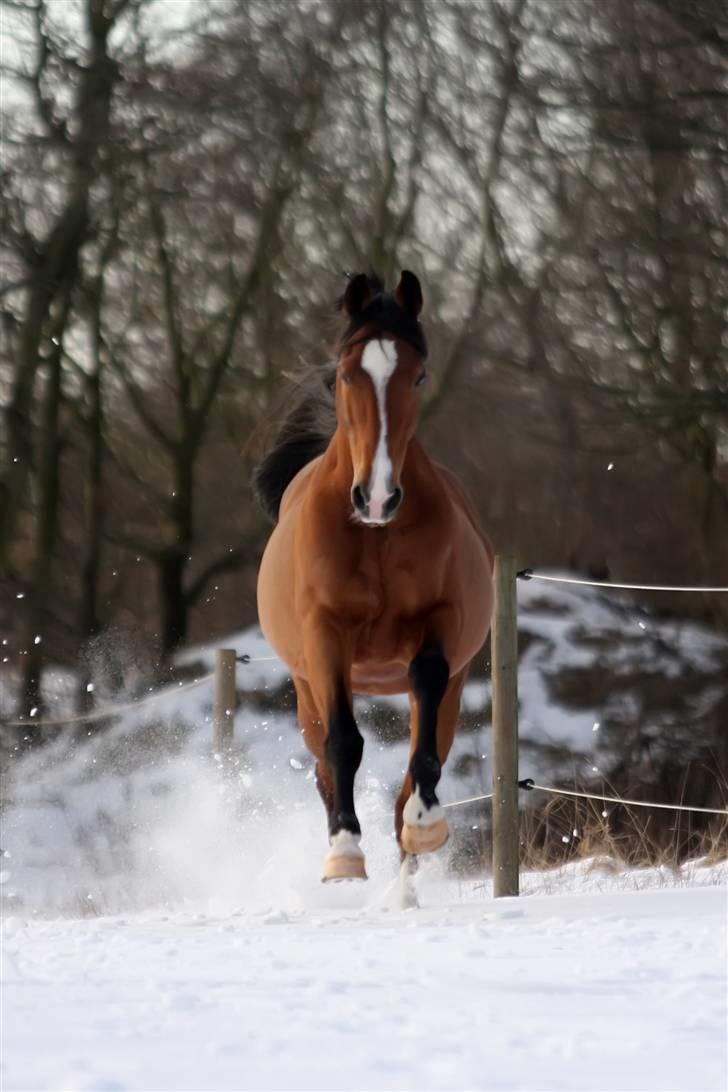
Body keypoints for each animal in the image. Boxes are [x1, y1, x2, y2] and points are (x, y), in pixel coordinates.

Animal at [255, 273, 495, 886]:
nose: (379, 497)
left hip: (451, 686)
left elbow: (423, 739)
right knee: (322, 764)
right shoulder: (326, 637)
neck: (377, 537)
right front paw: (345, 853)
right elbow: (343, 742)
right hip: (305, 690)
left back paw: (407, 875)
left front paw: (424, 823)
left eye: (418, 374)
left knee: (420, 757)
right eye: (345, 374)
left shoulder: (441, 626)